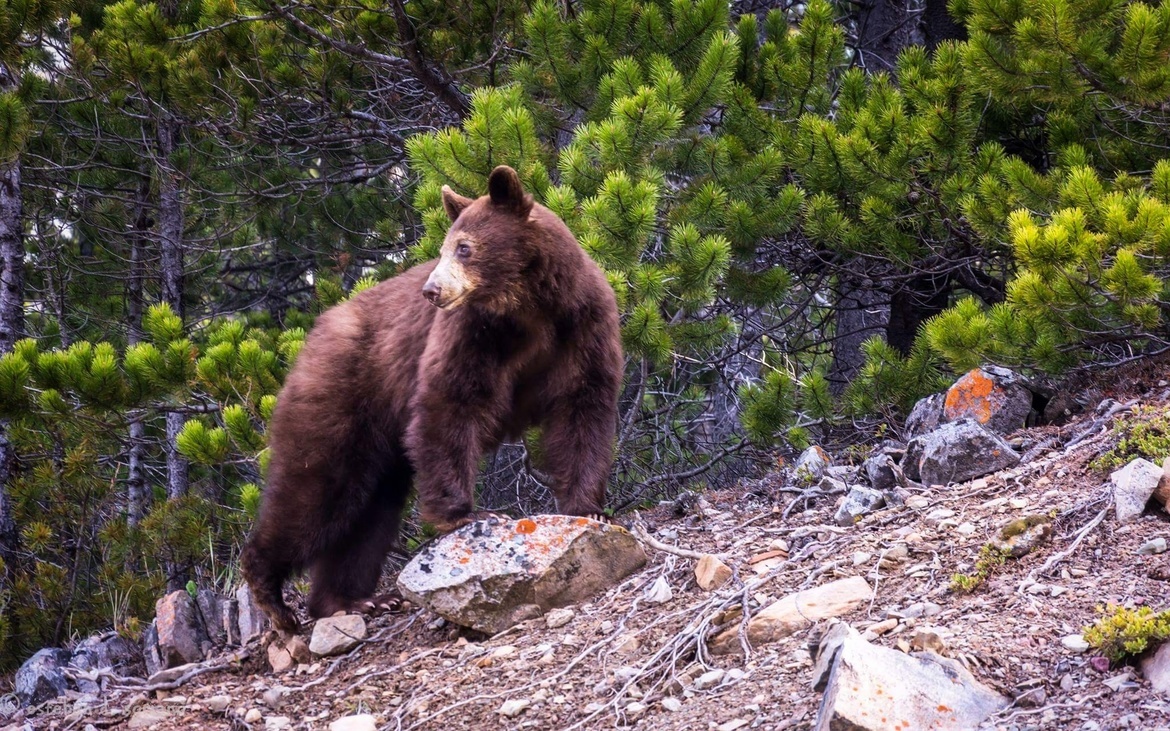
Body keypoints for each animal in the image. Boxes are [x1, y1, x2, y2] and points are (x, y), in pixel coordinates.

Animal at [240, 166, 624, 632]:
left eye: (464, 247)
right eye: (443, 248)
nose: (431, 290)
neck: (528, 308)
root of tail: (315, 332)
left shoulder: (582, 325)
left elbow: (583, 409)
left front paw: (590, 508)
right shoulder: (473, 334)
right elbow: (451, 404)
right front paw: (467, 514)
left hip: (376, 438)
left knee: (369, 509)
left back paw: (353, 600)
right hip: (342, 397)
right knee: (319, 487)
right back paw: (272, 596)